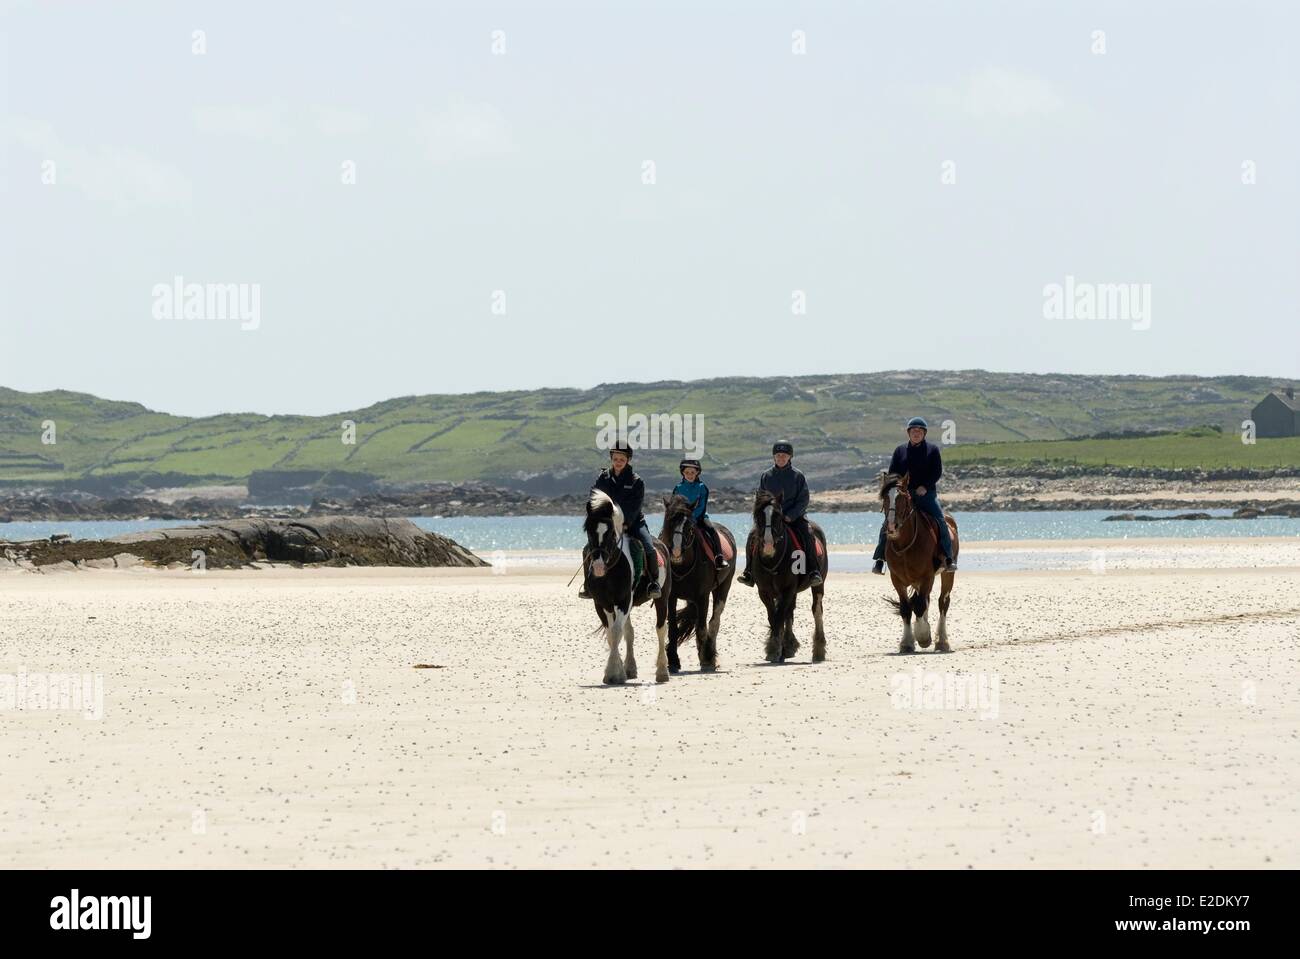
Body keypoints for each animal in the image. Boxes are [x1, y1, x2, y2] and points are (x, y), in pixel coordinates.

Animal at [585, 488, 676, 686]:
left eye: (611, 533)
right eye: (588, 531)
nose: (598, 566)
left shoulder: (623, 600)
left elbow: (616, 632)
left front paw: (613, 673)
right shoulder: (601, 603)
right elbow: (612, 634)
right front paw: (617, 672)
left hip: (662, 598)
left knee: (661, 629)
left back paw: (662, 671)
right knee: (629, 632)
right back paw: (630, 668)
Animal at [665, 493, 738, 670]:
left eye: (689, 527)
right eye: (669, 522)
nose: (675, 552)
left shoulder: (702, 596)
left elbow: (702, 627)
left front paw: (707, 659)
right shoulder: (671, 597)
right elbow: (673, 628)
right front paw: (673, 660)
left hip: (723, 587)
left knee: (714, 620)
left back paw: (709, 654)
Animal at [748, 488, 826, 660]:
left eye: (778, 515)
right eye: (759, 515)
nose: (768, 544)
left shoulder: (787, 589)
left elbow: (779, 616)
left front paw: (774, 648)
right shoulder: (765, 592)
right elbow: (774, 616)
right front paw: (776, 647)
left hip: (818, 585)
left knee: (816, 610)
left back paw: (818, 650)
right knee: (789, 612)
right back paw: (789, 646)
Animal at [878, 467, 961, 654]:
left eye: (902, 497)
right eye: (885, 497)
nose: (891, 527)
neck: (905, 544)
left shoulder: (927, 576)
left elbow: (920, 605)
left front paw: (923, 637)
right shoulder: (897, 579)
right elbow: (906, 608)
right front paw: (907, 642)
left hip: (947, 574)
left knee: (942, 602)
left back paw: (942, 641)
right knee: (923, 601)